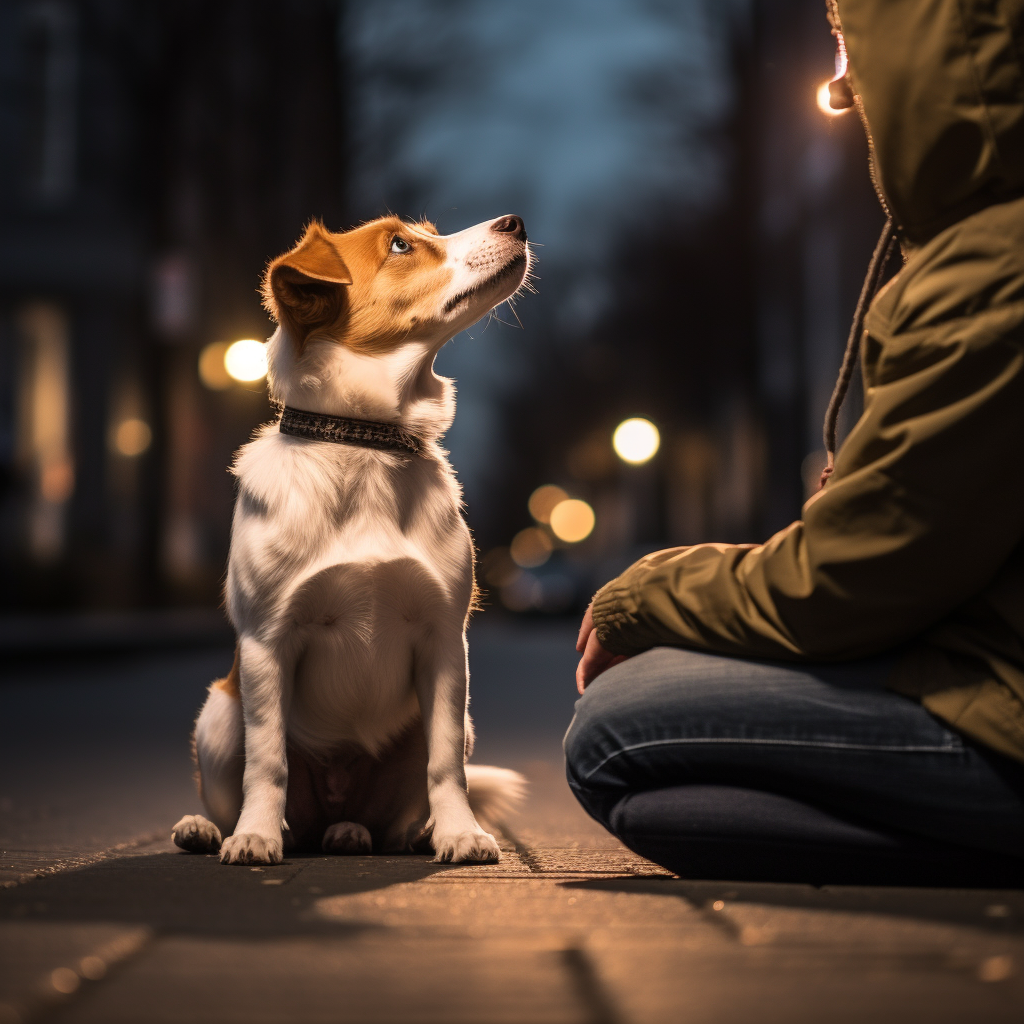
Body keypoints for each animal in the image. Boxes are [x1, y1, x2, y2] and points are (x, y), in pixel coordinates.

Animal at [168, 214, 532, 864]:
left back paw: (382, 833)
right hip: (219, 713)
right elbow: (268, 762)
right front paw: (255, 836)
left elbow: (447, 767)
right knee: (239, 791)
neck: (364, 440)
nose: (514, 223)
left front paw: (460, 832)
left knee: (388, 814)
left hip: (444, 727)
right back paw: (212, 828)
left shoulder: (445, 642)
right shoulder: (267, 642)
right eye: (400, 245)